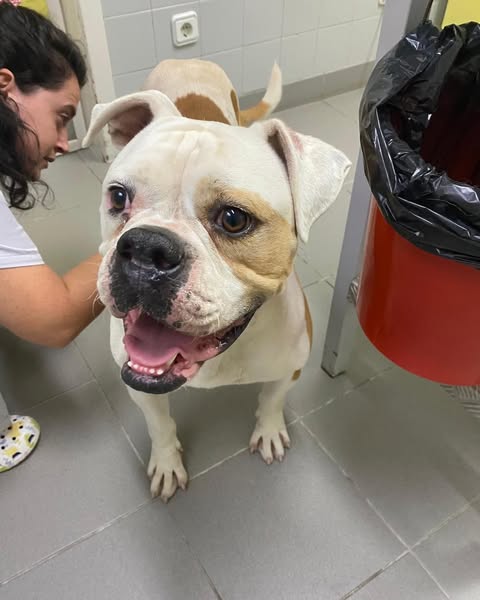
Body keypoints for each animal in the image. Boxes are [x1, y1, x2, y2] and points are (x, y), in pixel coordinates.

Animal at [83, 59, 351, 501]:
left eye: (234, 219)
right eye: (118, 197)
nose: (147, 248)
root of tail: (186, 59)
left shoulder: (290, 368)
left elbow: (272, 399)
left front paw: (269, 430)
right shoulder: (140, 386)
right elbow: (160, 425)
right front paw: (167, 462)